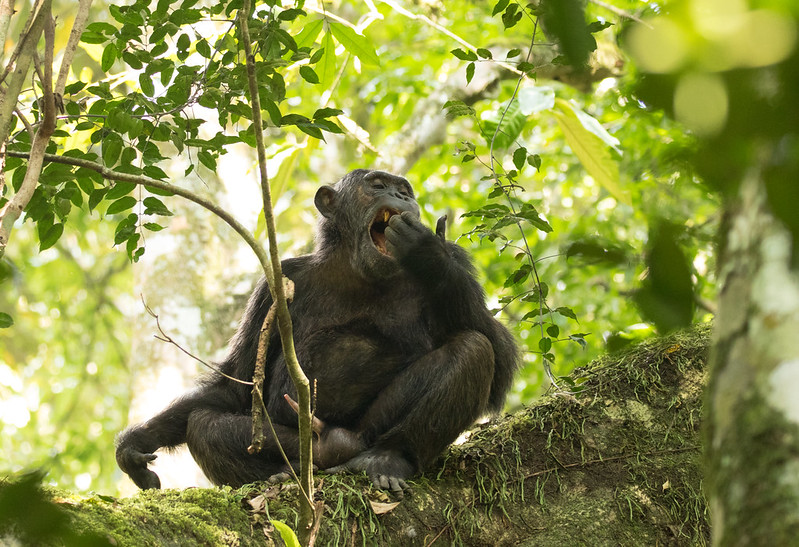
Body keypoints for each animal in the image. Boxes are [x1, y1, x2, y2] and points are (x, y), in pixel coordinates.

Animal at [115, 169, 520, 494]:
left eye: (405, 189)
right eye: (378, 185)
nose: (403, 196)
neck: (356, 270)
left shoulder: (459, 260)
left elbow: (498, 352)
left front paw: (427, 252)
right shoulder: (276, 283)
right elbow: (236, 384)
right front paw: (137, 442)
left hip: (369, 431)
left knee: (473, 349)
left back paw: (386, 459)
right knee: (204, 425)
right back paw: (295, 467)